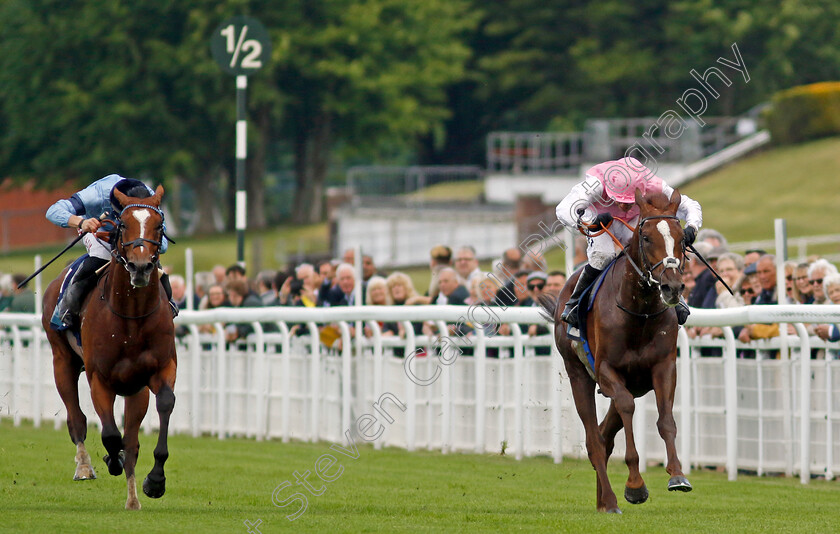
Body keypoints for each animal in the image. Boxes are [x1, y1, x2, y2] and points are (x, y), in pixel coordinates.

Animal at [41, 186, 176, 512]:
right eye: (123, 224)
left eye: (159, 225)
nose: (140, 267)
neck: (131, 317)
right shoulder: (99, 378)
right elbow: (111, 435)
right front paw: (112, 460)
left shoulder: (157, 370)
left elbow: (162, 406)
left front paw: (154, 481)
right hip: (61, 360)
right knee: (76, 418)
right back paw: (84, 466)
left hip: (134, 387)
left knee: (131, 437)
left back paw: (132, 495)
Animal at [540, 188, 692, 516]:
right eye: (646, 237)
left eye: (681, 237)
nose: (672, 287)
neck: (639, 312)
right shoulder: (607, 370)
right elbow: (626, 408)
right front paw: (635, 485)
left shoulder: (663, 367)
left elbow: (666, 420)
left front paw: (677, 475)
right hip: (578, 375)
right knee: (594, 439)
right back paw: (609, 501)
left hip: (634, 383)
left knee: (604, 434)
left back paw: (602, 500)